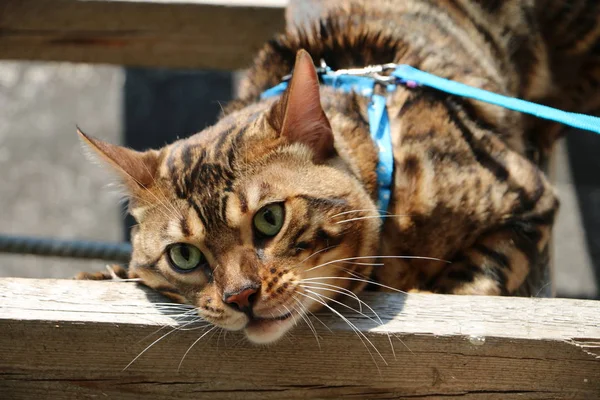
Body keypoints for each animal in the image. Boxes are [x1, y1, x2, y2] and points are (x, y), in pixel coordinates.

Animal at [78, 0, 600, 344]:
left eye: (270, 218)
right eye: (184, 255)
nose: (241, 296)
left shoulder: (528, 199)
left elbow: (477, 279)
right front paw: (107, 276)